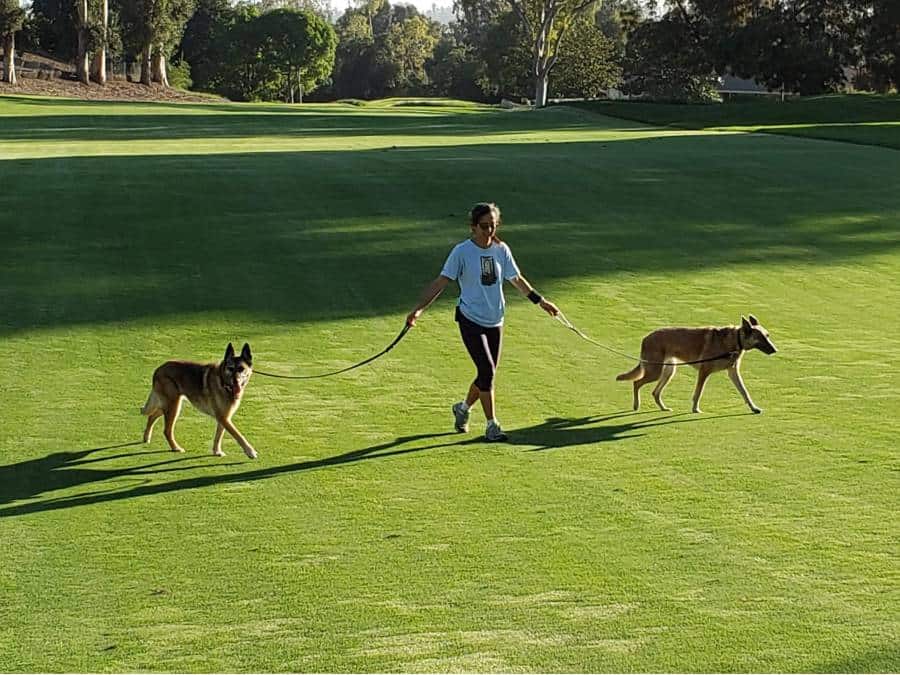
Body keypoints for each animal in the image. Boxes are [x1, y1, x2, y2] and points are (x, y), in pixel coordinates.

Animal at [616, 314, 776, 414]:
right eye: (761, 337)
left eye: (767, 335)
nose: (775, 350)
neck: (735, 340)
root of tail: (646, 337)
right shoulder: (704, 371)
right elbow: (698, 393)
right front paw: (695, 409)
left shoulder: (733, 373)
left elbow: (744, 392)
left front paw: (754, 408)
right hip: (655, 371)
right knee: (636, 383)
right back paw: (636, 405)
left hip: (668, 372)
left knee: (655, 392)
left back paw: (663, 408)